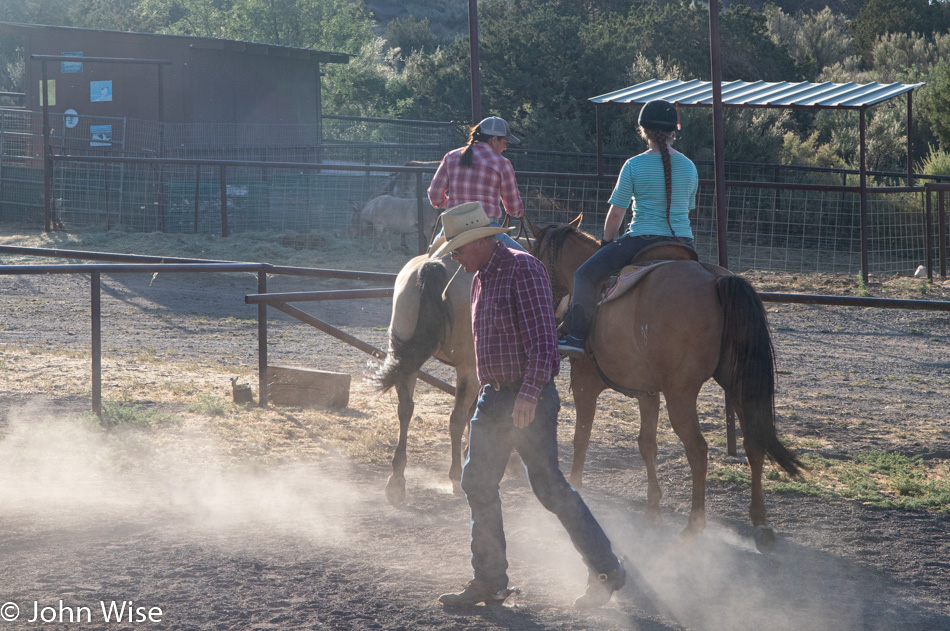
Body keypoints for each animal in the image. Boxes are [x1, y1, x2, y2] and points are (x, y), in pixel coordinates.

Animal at [370, 254, 480, 506]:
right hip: (468, 367)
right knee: (457, 417)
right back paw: (456, 476)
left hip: (407, 360)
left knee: (405, 410)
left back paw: (397, 479)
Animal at [528, 220, 804, 544]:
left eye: (536, 256)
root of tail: (716, 280)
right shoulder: (647, 392)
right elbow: (647, 444)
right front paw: (653, 509)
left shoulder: (585, 383)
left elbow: (581, 436)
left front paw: (576, 486)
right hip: (738, 387)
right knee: (753, 443)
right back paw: (760, 522)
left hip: (681, 395)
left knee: (698, 449)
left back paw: (695, 524)